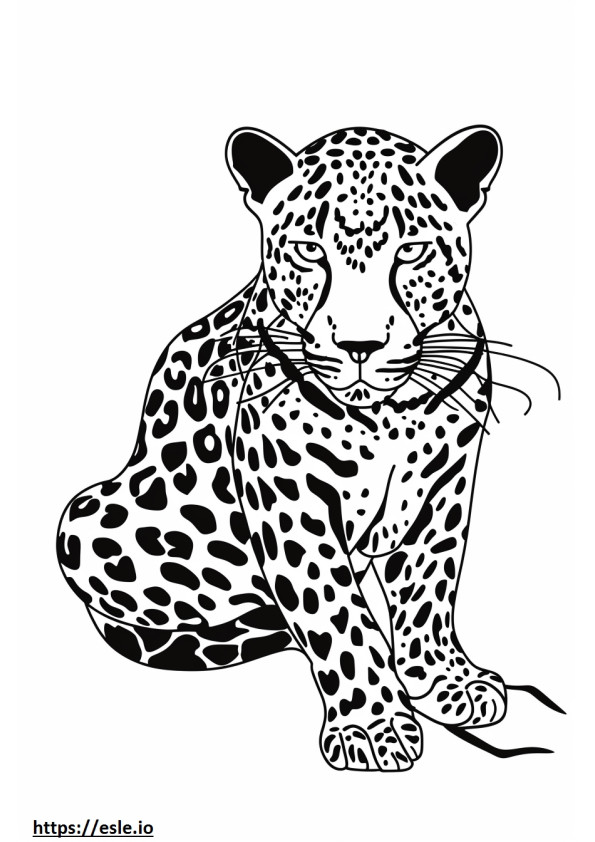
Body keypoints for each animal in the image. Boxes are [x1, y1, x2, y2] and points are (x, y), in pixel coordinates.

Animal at [57, 123, 509, 772]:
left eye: (412, 251)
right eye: (309, 250)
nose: (360, 345)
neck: (385, 417)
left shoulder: (444, 489)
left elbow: (430, 584)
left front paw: (443, 680)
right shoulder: (292, 501)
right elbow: (337, 614)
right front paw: (371, 726)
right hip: (84, 518)